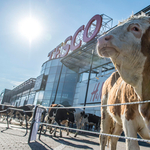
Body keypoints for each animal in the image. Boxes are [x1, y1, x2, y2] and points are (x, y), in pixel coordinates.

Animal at [96, 13, 150, 149]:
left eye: (135, 28)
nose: (101, 39)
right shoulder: (128, 120)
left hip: (118, 121)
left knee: (114, 138)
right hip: (105, 111)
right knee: (103, 136)